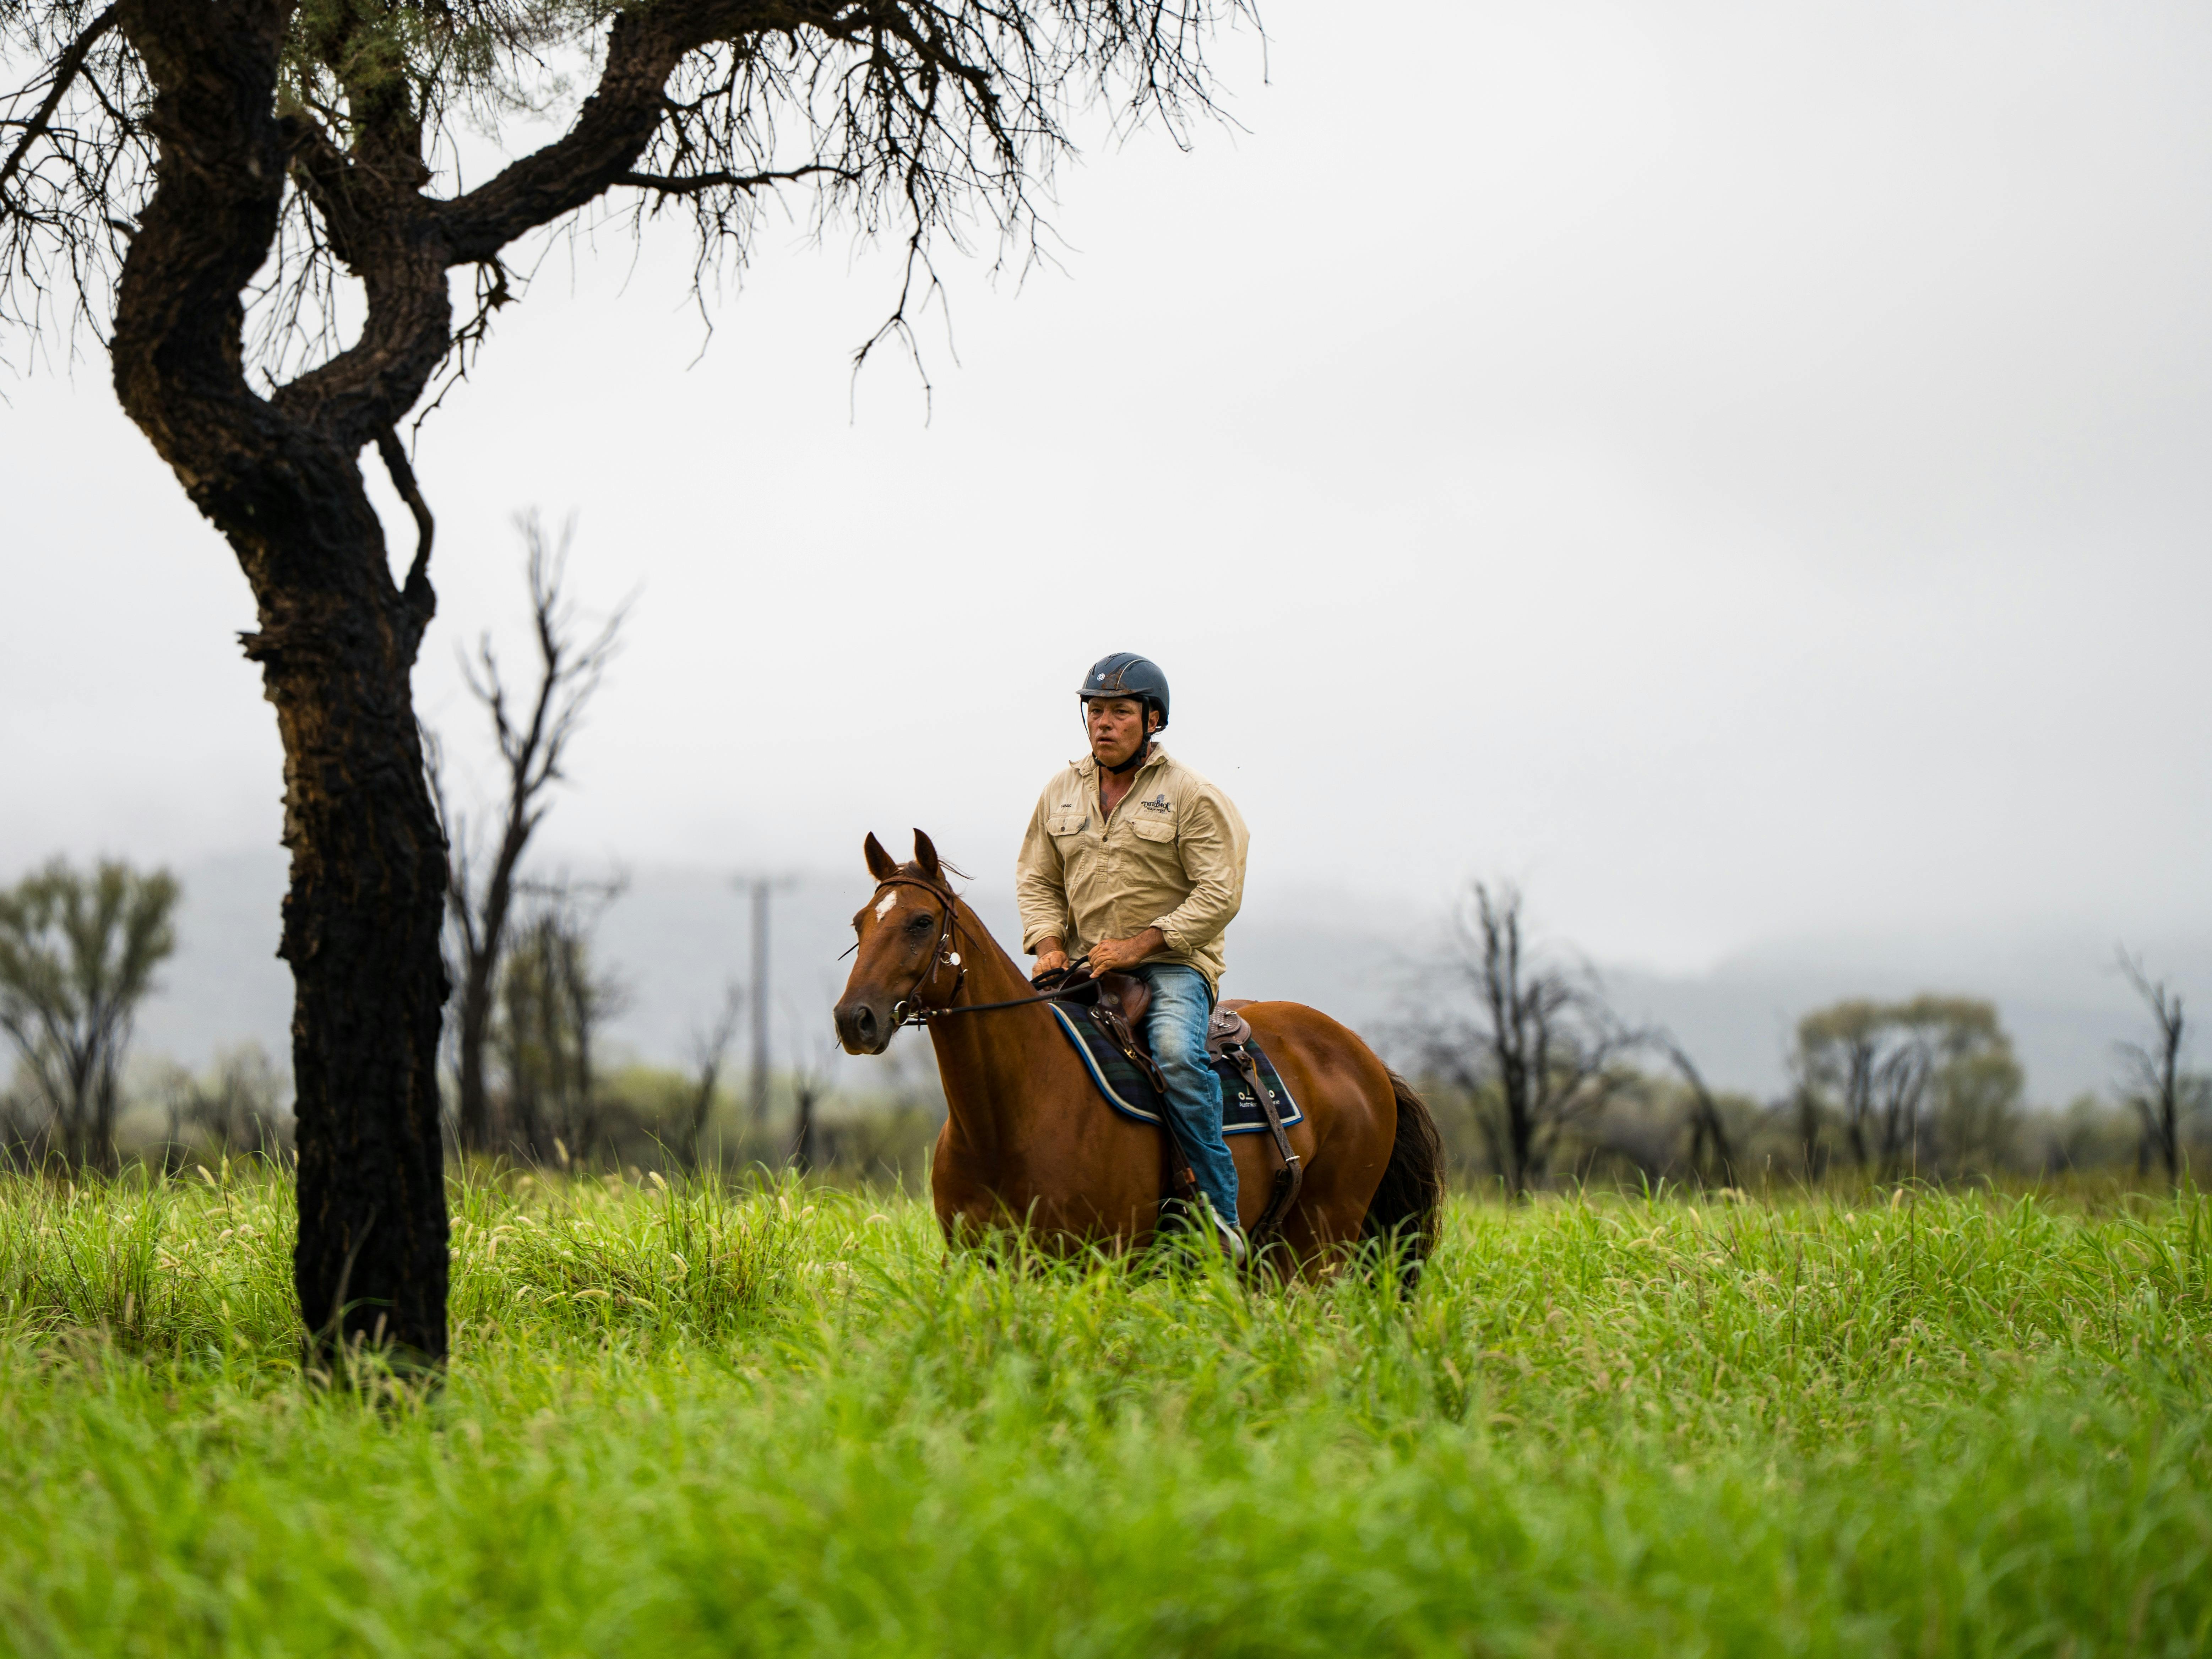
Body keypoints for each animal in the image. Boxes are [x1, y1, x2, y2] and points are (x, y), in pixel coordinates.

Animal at [832, 829, 1443, 1282]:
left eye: (921, 922)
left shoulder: (1098, 1267)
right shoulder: (976, 1263)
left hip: (1322, 1245)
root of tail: (1366, 1060)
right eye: (860, 923)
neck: (1006, 1116)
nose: (853, 1018)